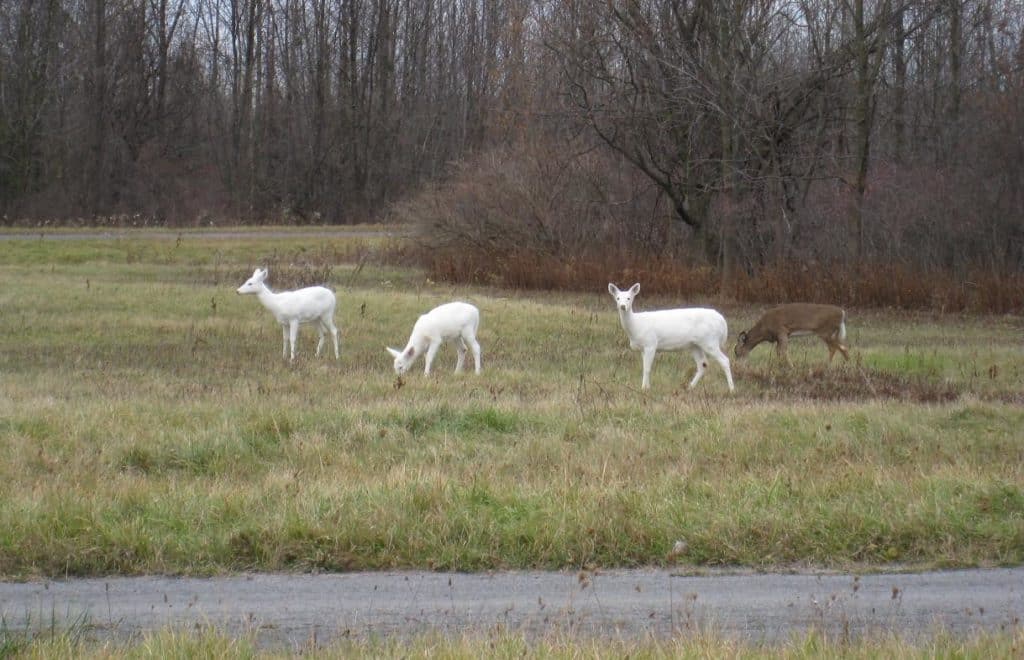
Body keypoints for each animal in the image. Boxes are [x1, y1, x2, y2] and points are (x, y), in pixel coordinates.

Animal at [606, 282, 737, 390]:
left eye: (629, 298)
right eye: (617, 298)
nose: (623, 306)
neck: (636, 325)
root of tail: (722, 321)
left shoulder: (651, 343)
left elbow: (647, 368)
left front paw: (644, 388)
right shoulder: (643, 348)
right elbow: (645, 367)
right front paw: (647, 386)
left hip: (710, 340)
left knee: (725, 360)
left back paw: (731, 389)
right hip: (695, 344)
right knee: (703, 364)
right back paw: (690, 387)